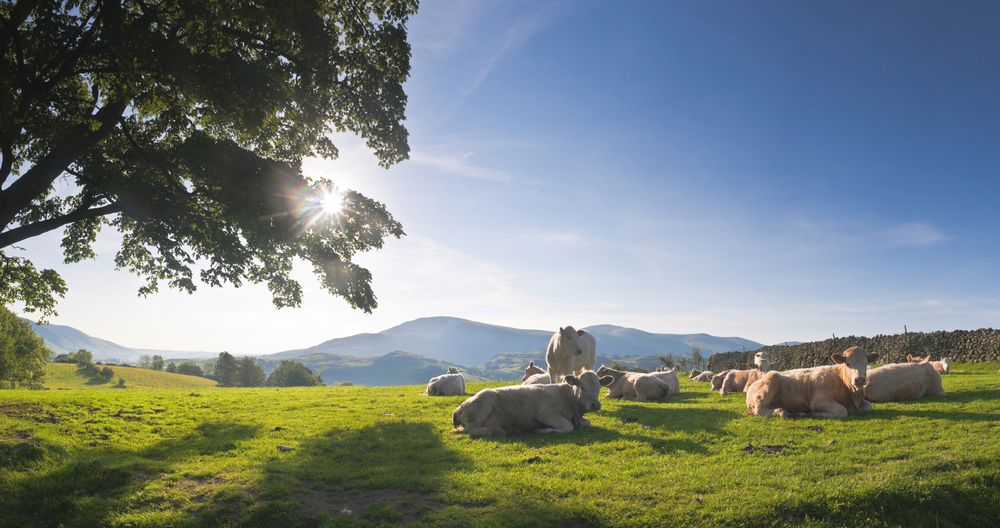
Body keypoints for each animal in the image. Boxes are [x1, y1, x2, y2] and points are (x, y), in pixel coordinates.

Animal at [452, 370, 608, 436]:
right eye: (582, 388)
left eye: (599, 388)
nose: (595, 405)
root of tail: (459, 408)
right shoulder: (545, 414)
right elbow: (569, 427)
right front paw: (542, 430)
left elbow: (587, 422)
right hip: (483, 403)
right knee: (471, 429)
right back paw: (501, 430)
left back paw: (513, 431)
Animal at [744, 346, 876, 420]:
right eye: (848, 364)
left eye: (866, 363)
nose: (860, 379)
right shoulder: (818, 401)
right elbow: (842, 411)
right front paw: (815, 413)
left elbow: (869, 406)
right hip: (769, 385)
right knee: (759, 411)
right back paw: (782, 412)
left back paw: (799, 413)